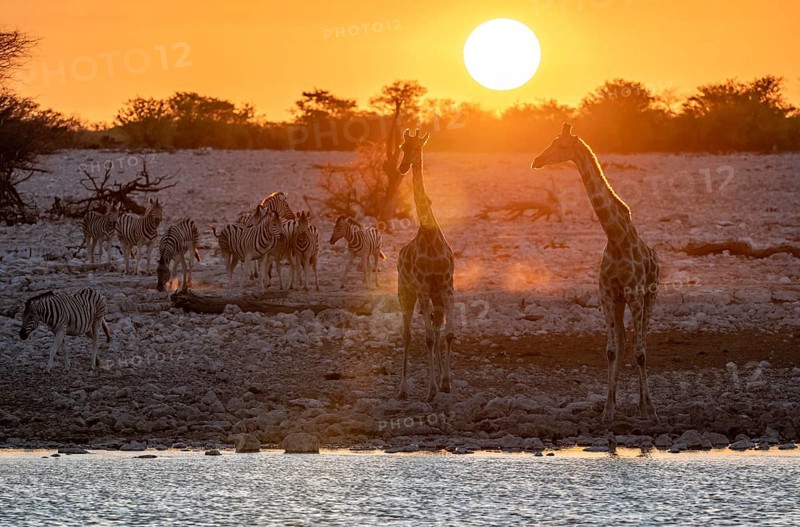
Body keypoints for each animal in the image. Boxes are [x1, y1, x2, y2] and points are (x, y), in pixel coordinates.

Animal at [532, 123, 660, 422]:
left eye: (561, 145)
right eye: (552, 141)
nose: (537, 161)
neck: (616, 238)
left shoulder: (635, 294)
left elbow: (640, 353)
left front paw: (649, 410)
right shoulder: (607, 295)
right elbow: (612, 350)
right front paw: (608, 410)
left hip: (649, 297)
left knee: (642, 342)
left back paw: (645, 405)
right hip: (622, 302)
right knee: (624, 341)